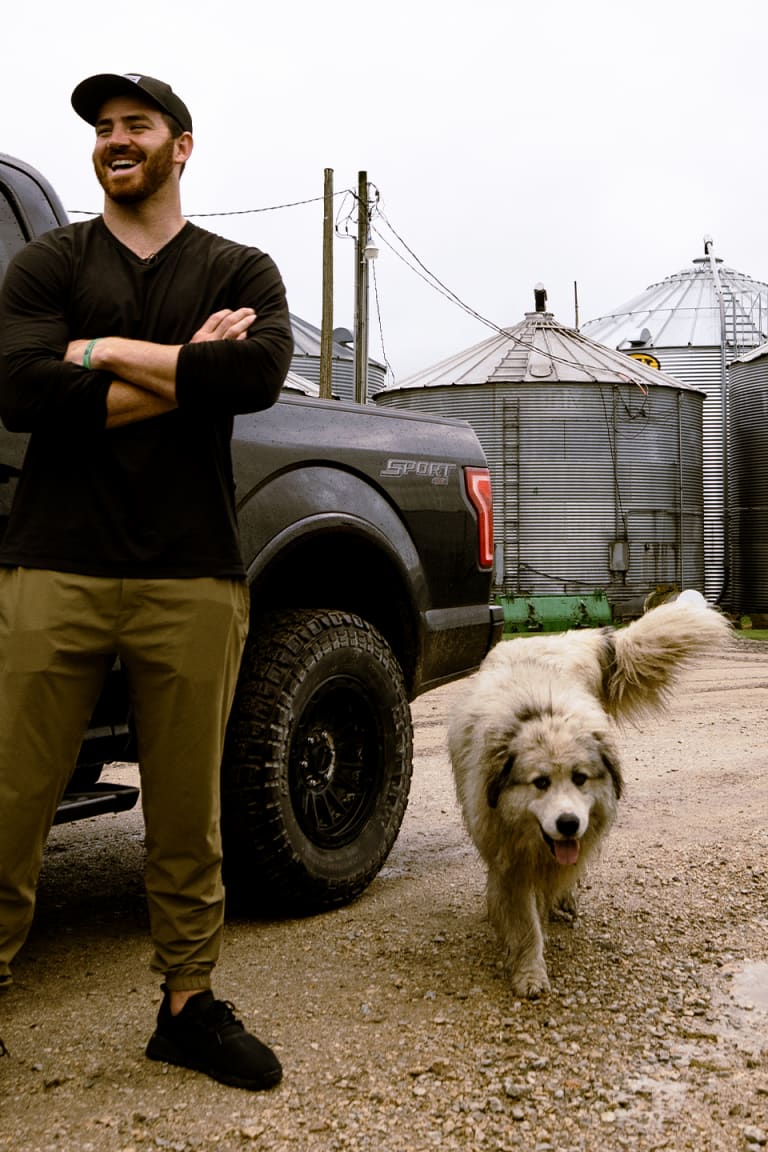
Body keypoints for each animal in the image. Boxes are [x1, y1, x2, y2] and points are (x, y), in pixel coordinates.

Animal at [446, 589, 732, 995]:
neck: (543, 713)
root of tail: (565, 638)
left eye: (580, 778)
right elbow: (525, 923)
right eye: (540, 782)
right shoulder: (510, 861)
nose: (568, 824)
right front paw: (530, 972)